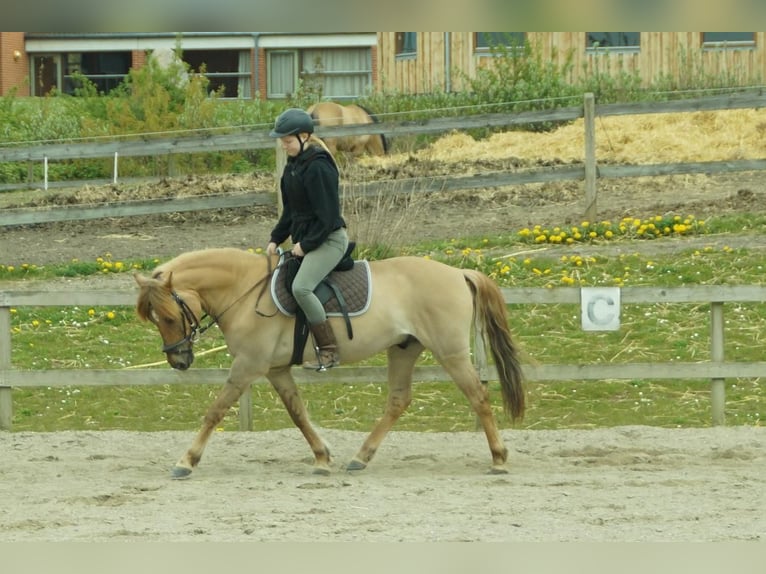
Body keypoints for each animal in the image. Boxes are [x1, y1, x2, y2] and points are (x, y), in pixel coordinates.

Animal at [134, 250, 528, 480]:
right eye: (153, 318)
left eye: (168, 316)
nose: (178, 360)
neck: (245, 291)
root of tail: (458, 272)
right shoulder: (275, 369)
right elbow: (298, 413)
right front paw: (322, 457)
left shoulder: (248, 366)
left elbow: (215, 411)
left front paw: (186, 461)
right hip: (403, 348)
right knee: (398, 400)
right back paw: (361, 457)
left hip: (450, 352)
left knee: (478, 396)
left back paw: (498, 458)